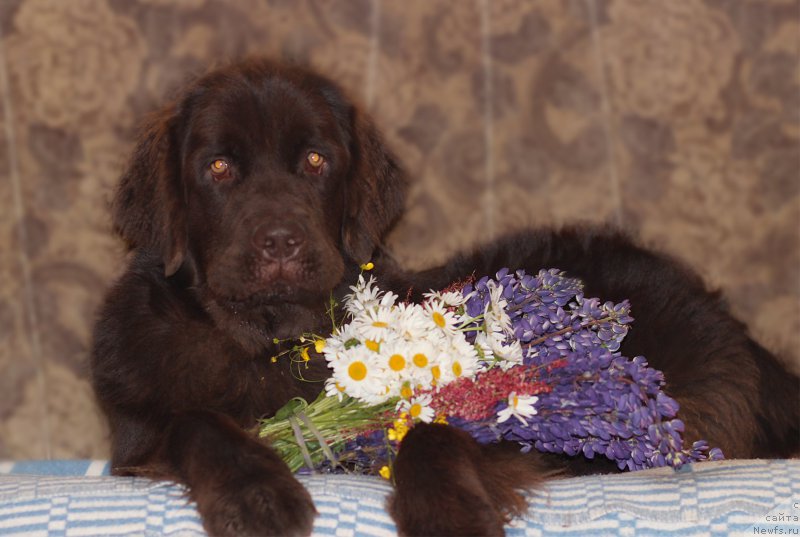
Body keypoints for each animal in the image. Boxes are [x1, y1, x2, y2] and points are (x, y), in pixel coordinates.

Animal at [90, 59, 796, 536]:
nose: (280, 241)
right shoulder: (136, 445)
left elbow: (433, 429)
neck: (273, 345)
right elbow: (195, 421)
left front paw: (448, 511)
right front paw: (256, 491)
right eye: (218, 168)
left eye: (316, 161)